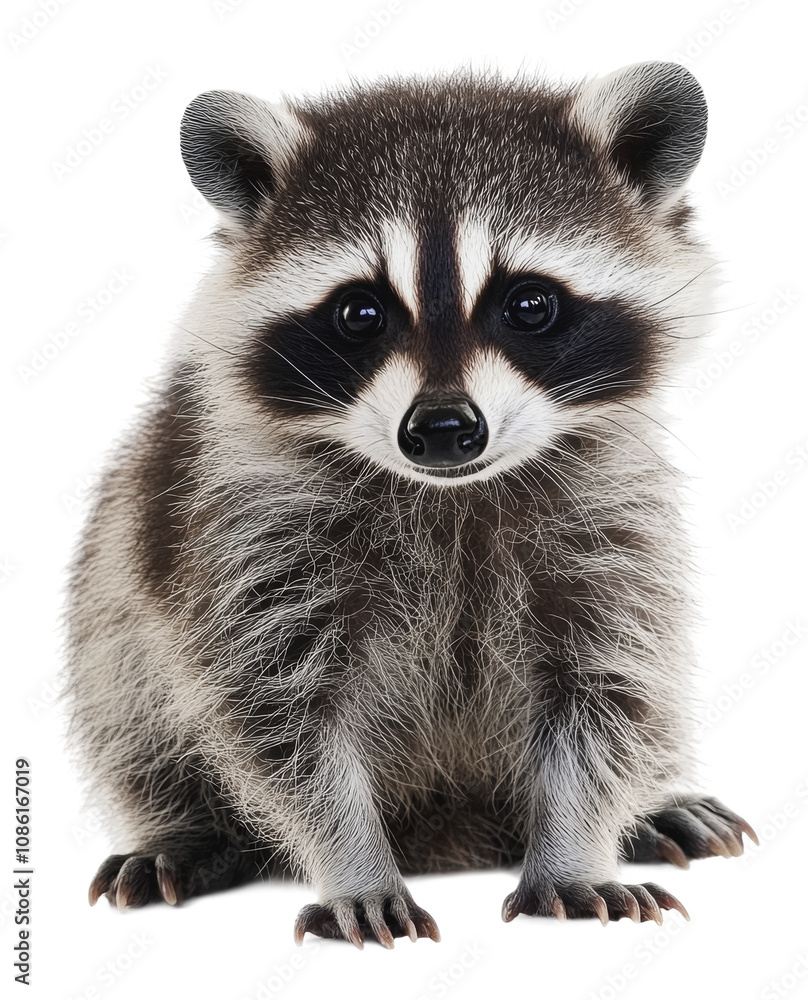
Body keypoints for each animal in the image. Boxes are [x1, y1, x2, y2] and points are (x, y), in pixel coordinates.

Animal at [66, 61, 757, 948]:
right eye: (360, 312)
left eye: (529, 304)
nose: (443, 429)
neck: (449, 493)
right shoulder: (241, 528)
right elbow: (280, 715)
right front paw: (354, 862)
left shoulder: (611, 520)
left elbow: (607, 687)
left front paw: (575, 851)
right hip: (121, 568)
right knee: (125, 699)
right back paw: (186, 829)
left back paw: (651, 807)